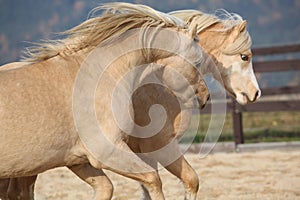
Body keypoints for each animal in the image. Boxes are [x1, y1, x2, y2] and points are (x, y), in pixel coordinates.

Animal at [0, 2, 210, 200]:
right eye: (198, 62)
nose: (205, 97)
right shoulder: (110, 152)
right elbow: (154, 180)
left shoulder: (79, 160)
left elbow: (106, 188)